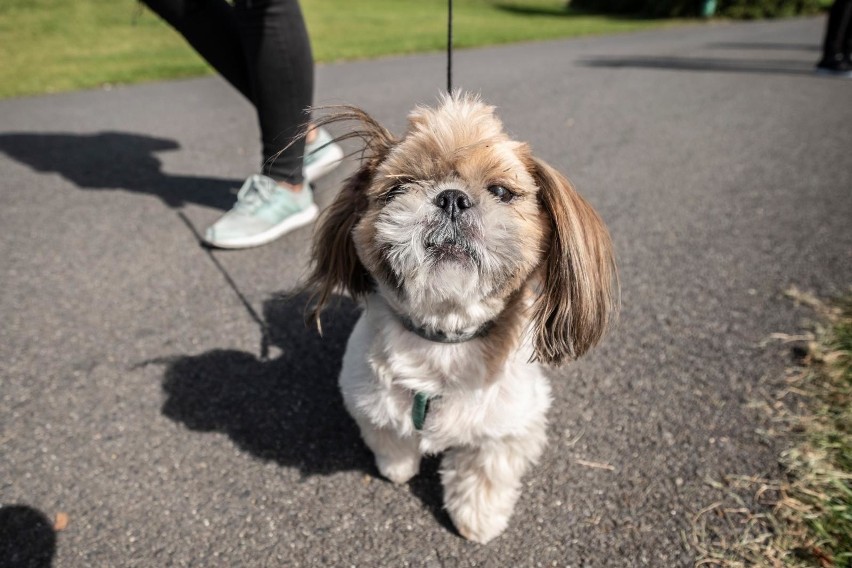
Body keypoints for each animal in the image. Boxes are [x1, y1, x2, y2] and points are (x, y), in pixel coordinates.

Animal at [306, 91, 620, 544]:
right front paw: (397, 468)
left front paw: (477, 520)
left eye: (501, 191)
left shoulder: (510, 425)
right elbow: (388, 435)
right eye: (399, 186)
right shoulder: (364, 395)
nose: (451, 197)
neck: (444, 339)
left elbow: (483, 472)